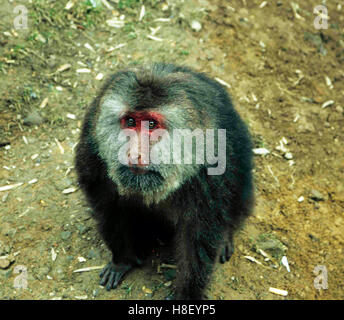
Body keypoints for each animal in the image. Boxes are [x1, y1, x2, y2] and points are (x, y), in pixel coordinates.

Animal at [74, 63, 253, 300]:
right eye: (130, 121)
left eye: (151, 124)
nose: (135, 154)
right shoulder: (93, 153)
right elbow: (109, 209)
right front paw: (122, 261)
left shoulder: (210, 175)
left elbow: (197, 237)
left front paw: (186, 294)